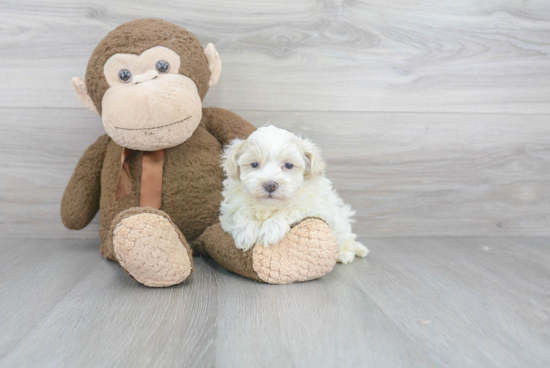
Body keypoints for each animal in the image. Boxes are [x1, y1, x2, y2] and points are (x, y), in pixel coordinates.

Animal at [220, 125, 370, 264]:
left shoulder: (316, 207)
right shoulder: (230, 208)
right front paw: (246, 231)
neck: (269, 206)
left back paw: (345, 254)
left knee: (346, 238)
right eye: (254, 164)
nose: (270, 185)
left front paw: (272, 227)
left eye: (288, 165)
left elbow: (290, 209)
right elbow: (241, 211)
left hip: (341, 221)